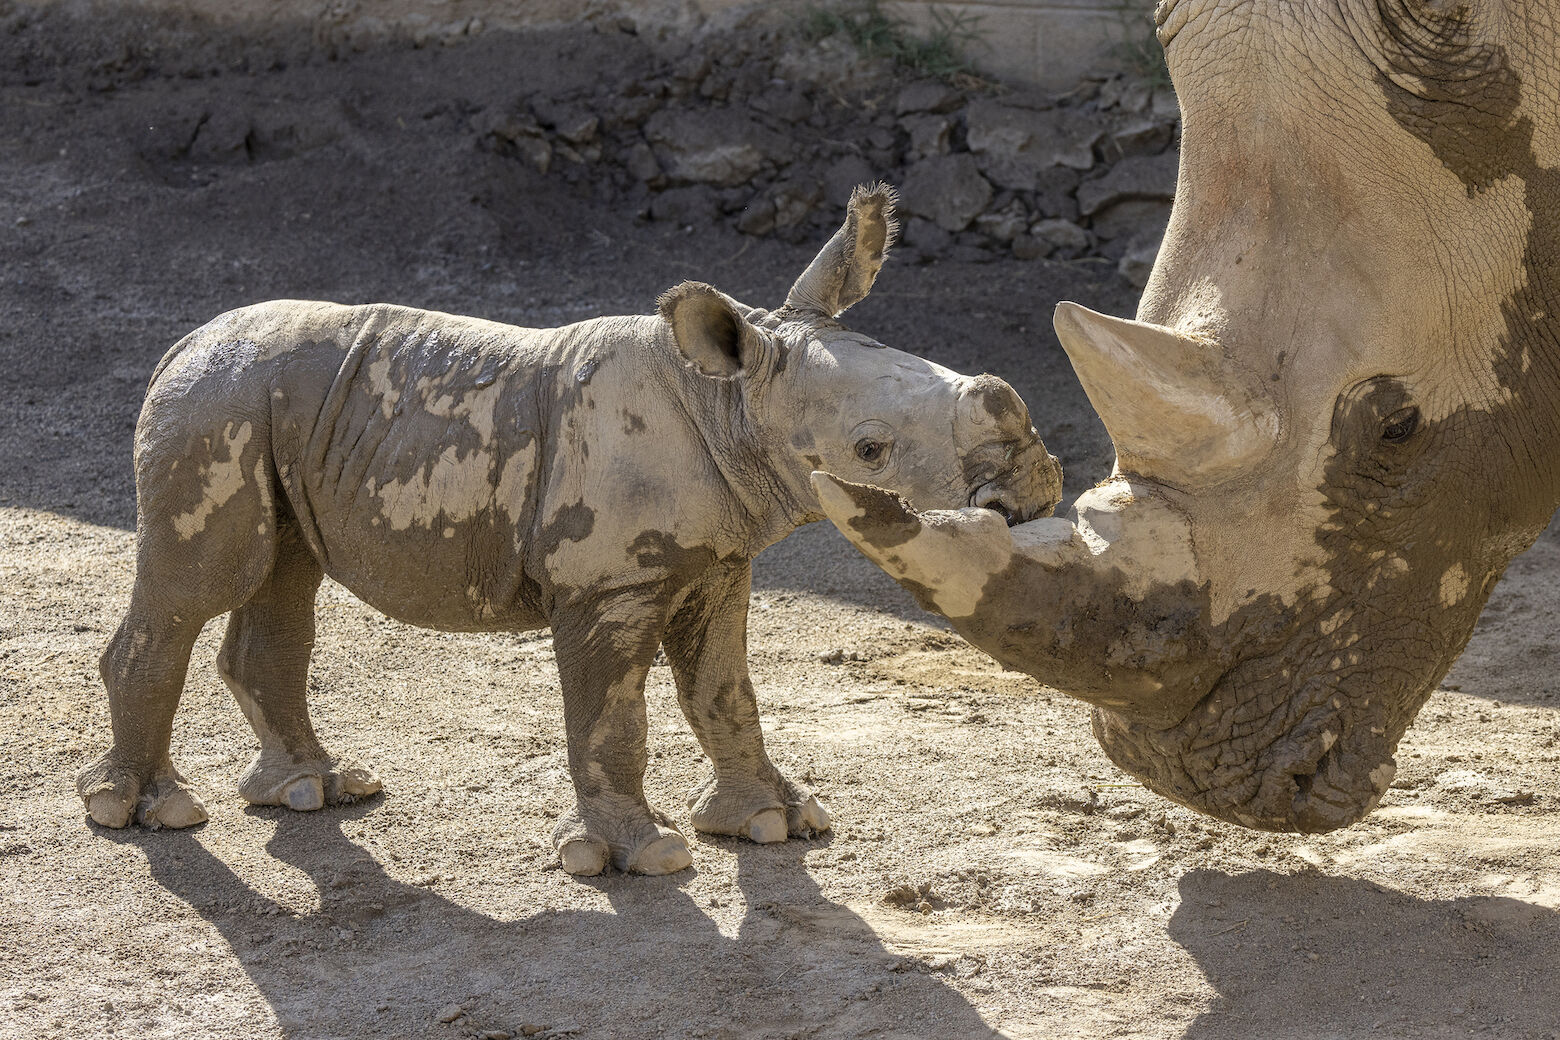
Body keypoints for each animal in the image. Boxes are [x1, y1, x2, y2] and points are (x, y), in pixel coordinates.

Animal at [75, 185, 1062, 874]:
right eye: (871, 448)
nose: (1034, 483)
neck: (731, 398)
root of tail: (180, 344)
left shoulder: (718, 560)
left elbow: (725, 690)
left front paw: (775, 823)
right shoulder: (606, 581)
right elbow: (610, 715)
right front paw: (642, 857)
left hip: (275, 407)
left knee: (283, 576)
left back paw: (316, 790)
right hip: (216, 405)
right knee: (200, 584)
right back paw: (147, 813)